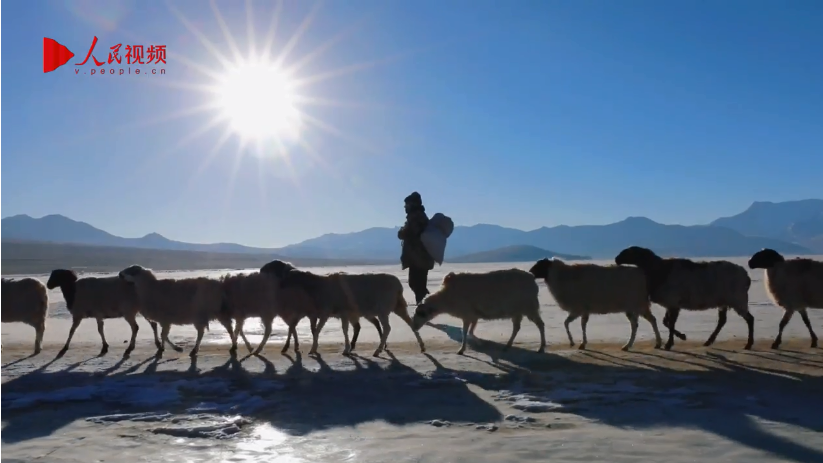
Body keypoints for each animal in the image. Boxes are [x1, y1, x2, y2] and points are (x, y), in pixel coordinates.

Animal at [273, 266, 426, 357]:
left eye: (290, 277)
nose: (280, 285)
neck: (318, 286)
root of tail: (399, 286)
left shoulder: (328, 312)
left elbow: (319, 331)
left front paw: (314, 349)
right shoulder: (342, 314)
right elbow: (343, 329)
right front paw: (346, 348)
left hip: (383, 309)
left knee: (387, 328)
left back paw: (377, 350)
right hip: (398, 306)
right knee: (411, 324)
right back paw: (422, 346)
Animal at [411, 269, 545, 355]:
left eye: (421, 313)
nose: (414, 327)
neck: (446, 298)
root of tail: (532, 279)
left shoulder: (467, 315)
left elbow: (465, 332)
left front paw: (462, 350)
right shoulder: (473, 316)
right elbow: (470, 331)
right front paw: (479, 343)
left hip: (529, 308)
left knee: (540, 324)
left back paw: (541, 347)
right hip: (517, 311)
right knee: (517, 328)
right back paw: (507, 346)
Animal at [529, 258, 662, 351]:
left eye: (540, 265)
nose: (530, 273)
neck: (562, 277)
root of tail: (642, 274)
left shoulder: (578, 308)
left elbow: (567, 323)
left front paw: (574, 342)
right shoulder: (584, 310)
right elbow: (581, 324)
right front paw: (582, 343)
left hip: (636, 304)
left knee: (642, 323)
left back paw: (635, 345)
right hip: (635, 306)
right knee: (645, 321)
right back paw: (647, 344)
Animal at [615, 246, 754, 351]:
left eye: (628, 252)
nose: (616, 259)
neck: (659, 271)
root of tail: (747, 277)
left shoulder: (673, 303)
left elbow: (670, 323)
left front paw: (670, 343)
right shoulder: (671, 304)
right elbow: (666, 322)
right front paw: (681, 336)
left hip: (738, 299)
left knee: (750, 319)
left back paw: (748, 344)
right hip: (724, 301)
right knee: (722, 321)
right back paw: (708, 341)